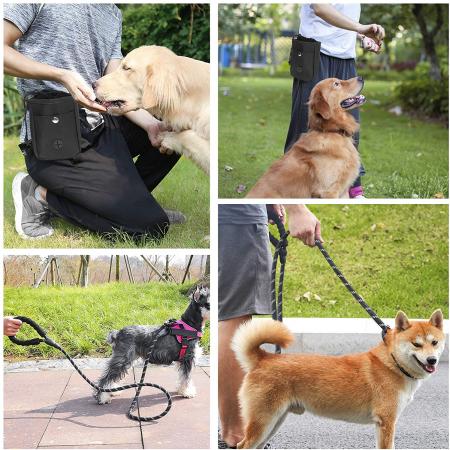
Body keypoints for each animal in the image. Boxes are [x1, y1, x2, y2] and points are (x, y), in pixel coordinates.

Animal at [232, 312, 446, 448]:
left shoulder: (382, 425)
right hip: (264, 422)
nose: (432, 360)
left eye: (434, 342)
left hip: (274, 422)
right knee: (243, 446)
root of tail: (264, 359)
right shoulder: (386, 422)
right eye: (416, 344)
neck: (392, 363)